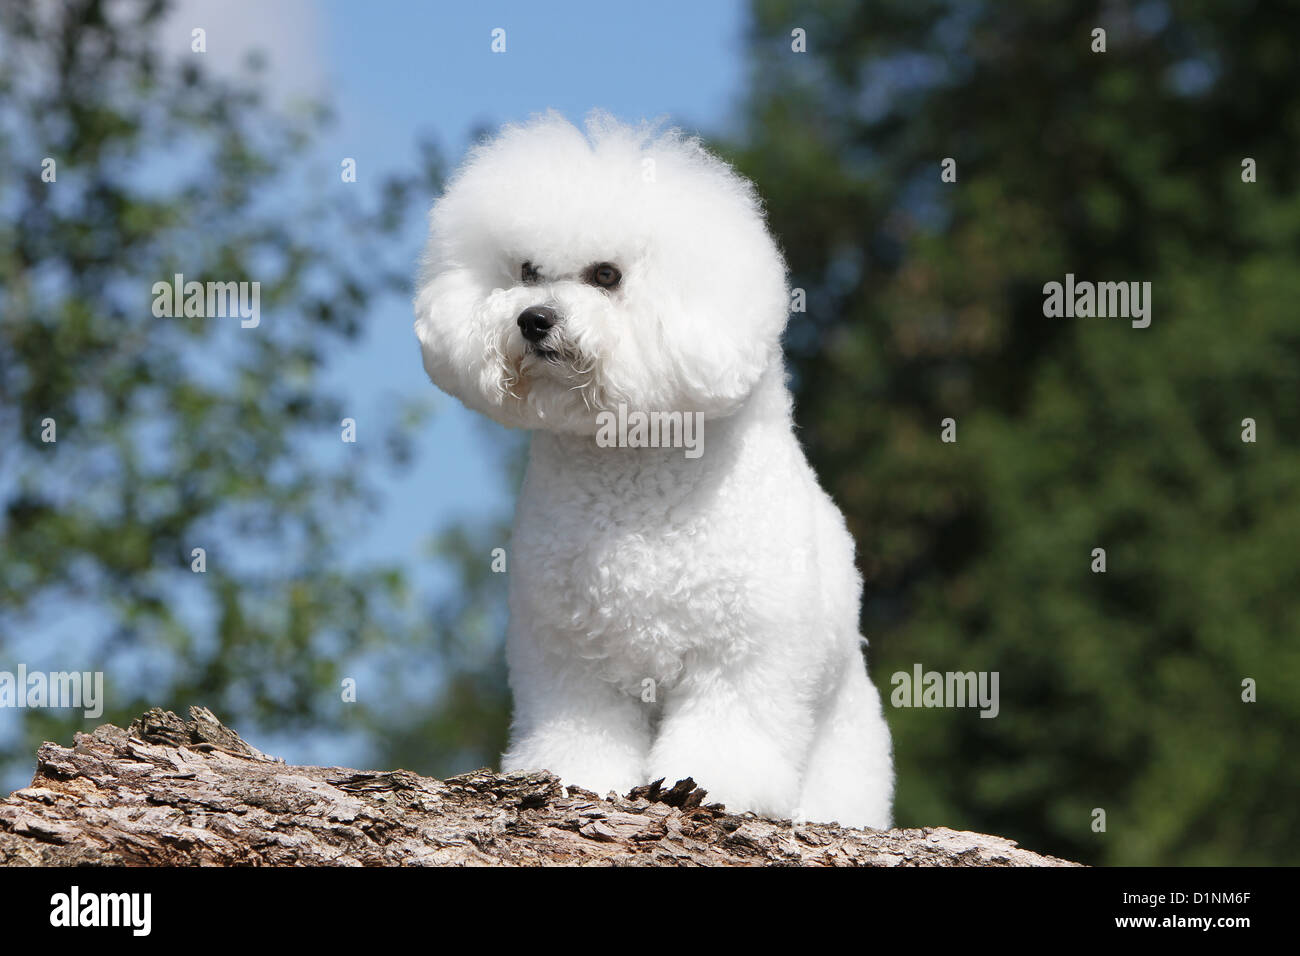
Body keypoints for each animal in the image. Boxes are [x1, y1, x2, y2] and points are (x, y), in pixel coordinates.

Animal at [413, 113, 894, 832]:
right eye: (526, 271)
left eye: (607, 274)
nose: (533, 319)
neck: (630, 471)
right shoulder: (572, 658)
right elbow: (580, 732)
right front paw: (576, 777)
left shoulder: (742, 654)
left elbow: (730, 731)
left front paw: (710, 784)